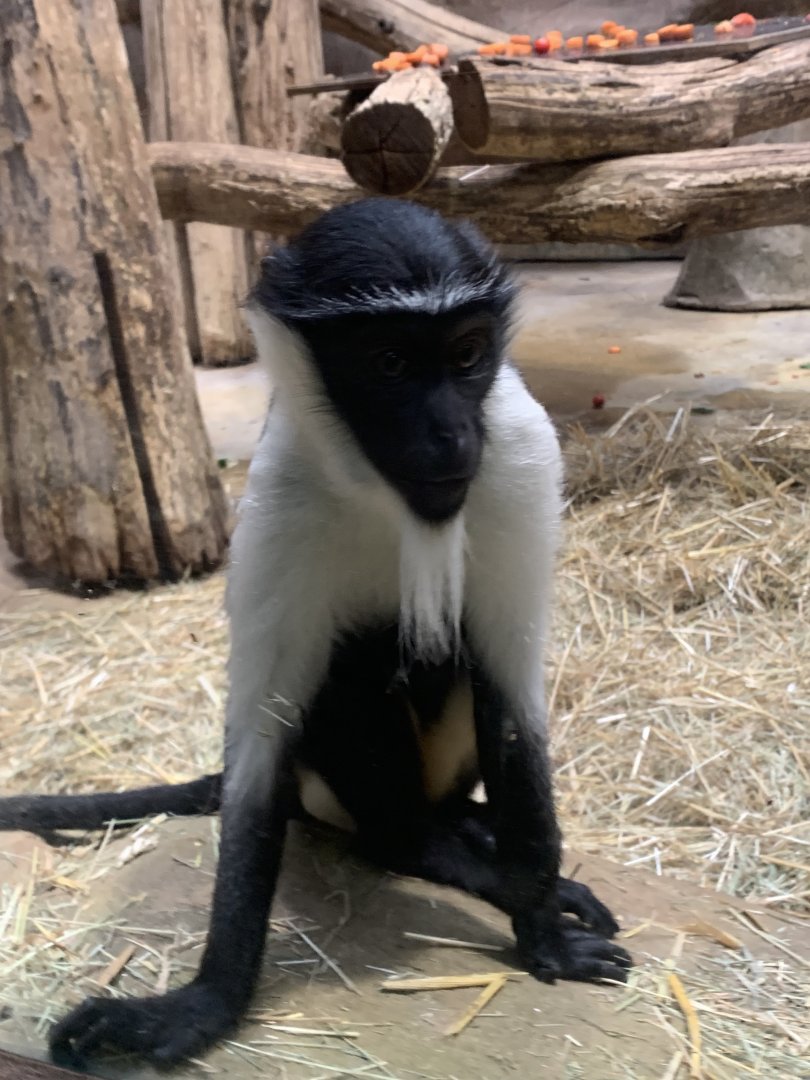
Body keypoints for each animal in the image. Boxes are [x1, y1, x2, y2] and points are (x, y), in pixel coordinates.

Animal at [0, 199, 631, 1068]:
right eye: (389, 363)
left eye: (467, 354)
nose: (450, 434)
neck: (389, 494)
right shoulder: (281, 491)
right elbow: (263, 741)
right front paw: (205, 1003)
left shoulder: (519, 453)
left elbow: (510, 697)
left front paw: (543, 932)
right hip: (331, 786)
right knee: (349, 671)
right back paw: (425, 848)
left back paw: (469, 834)